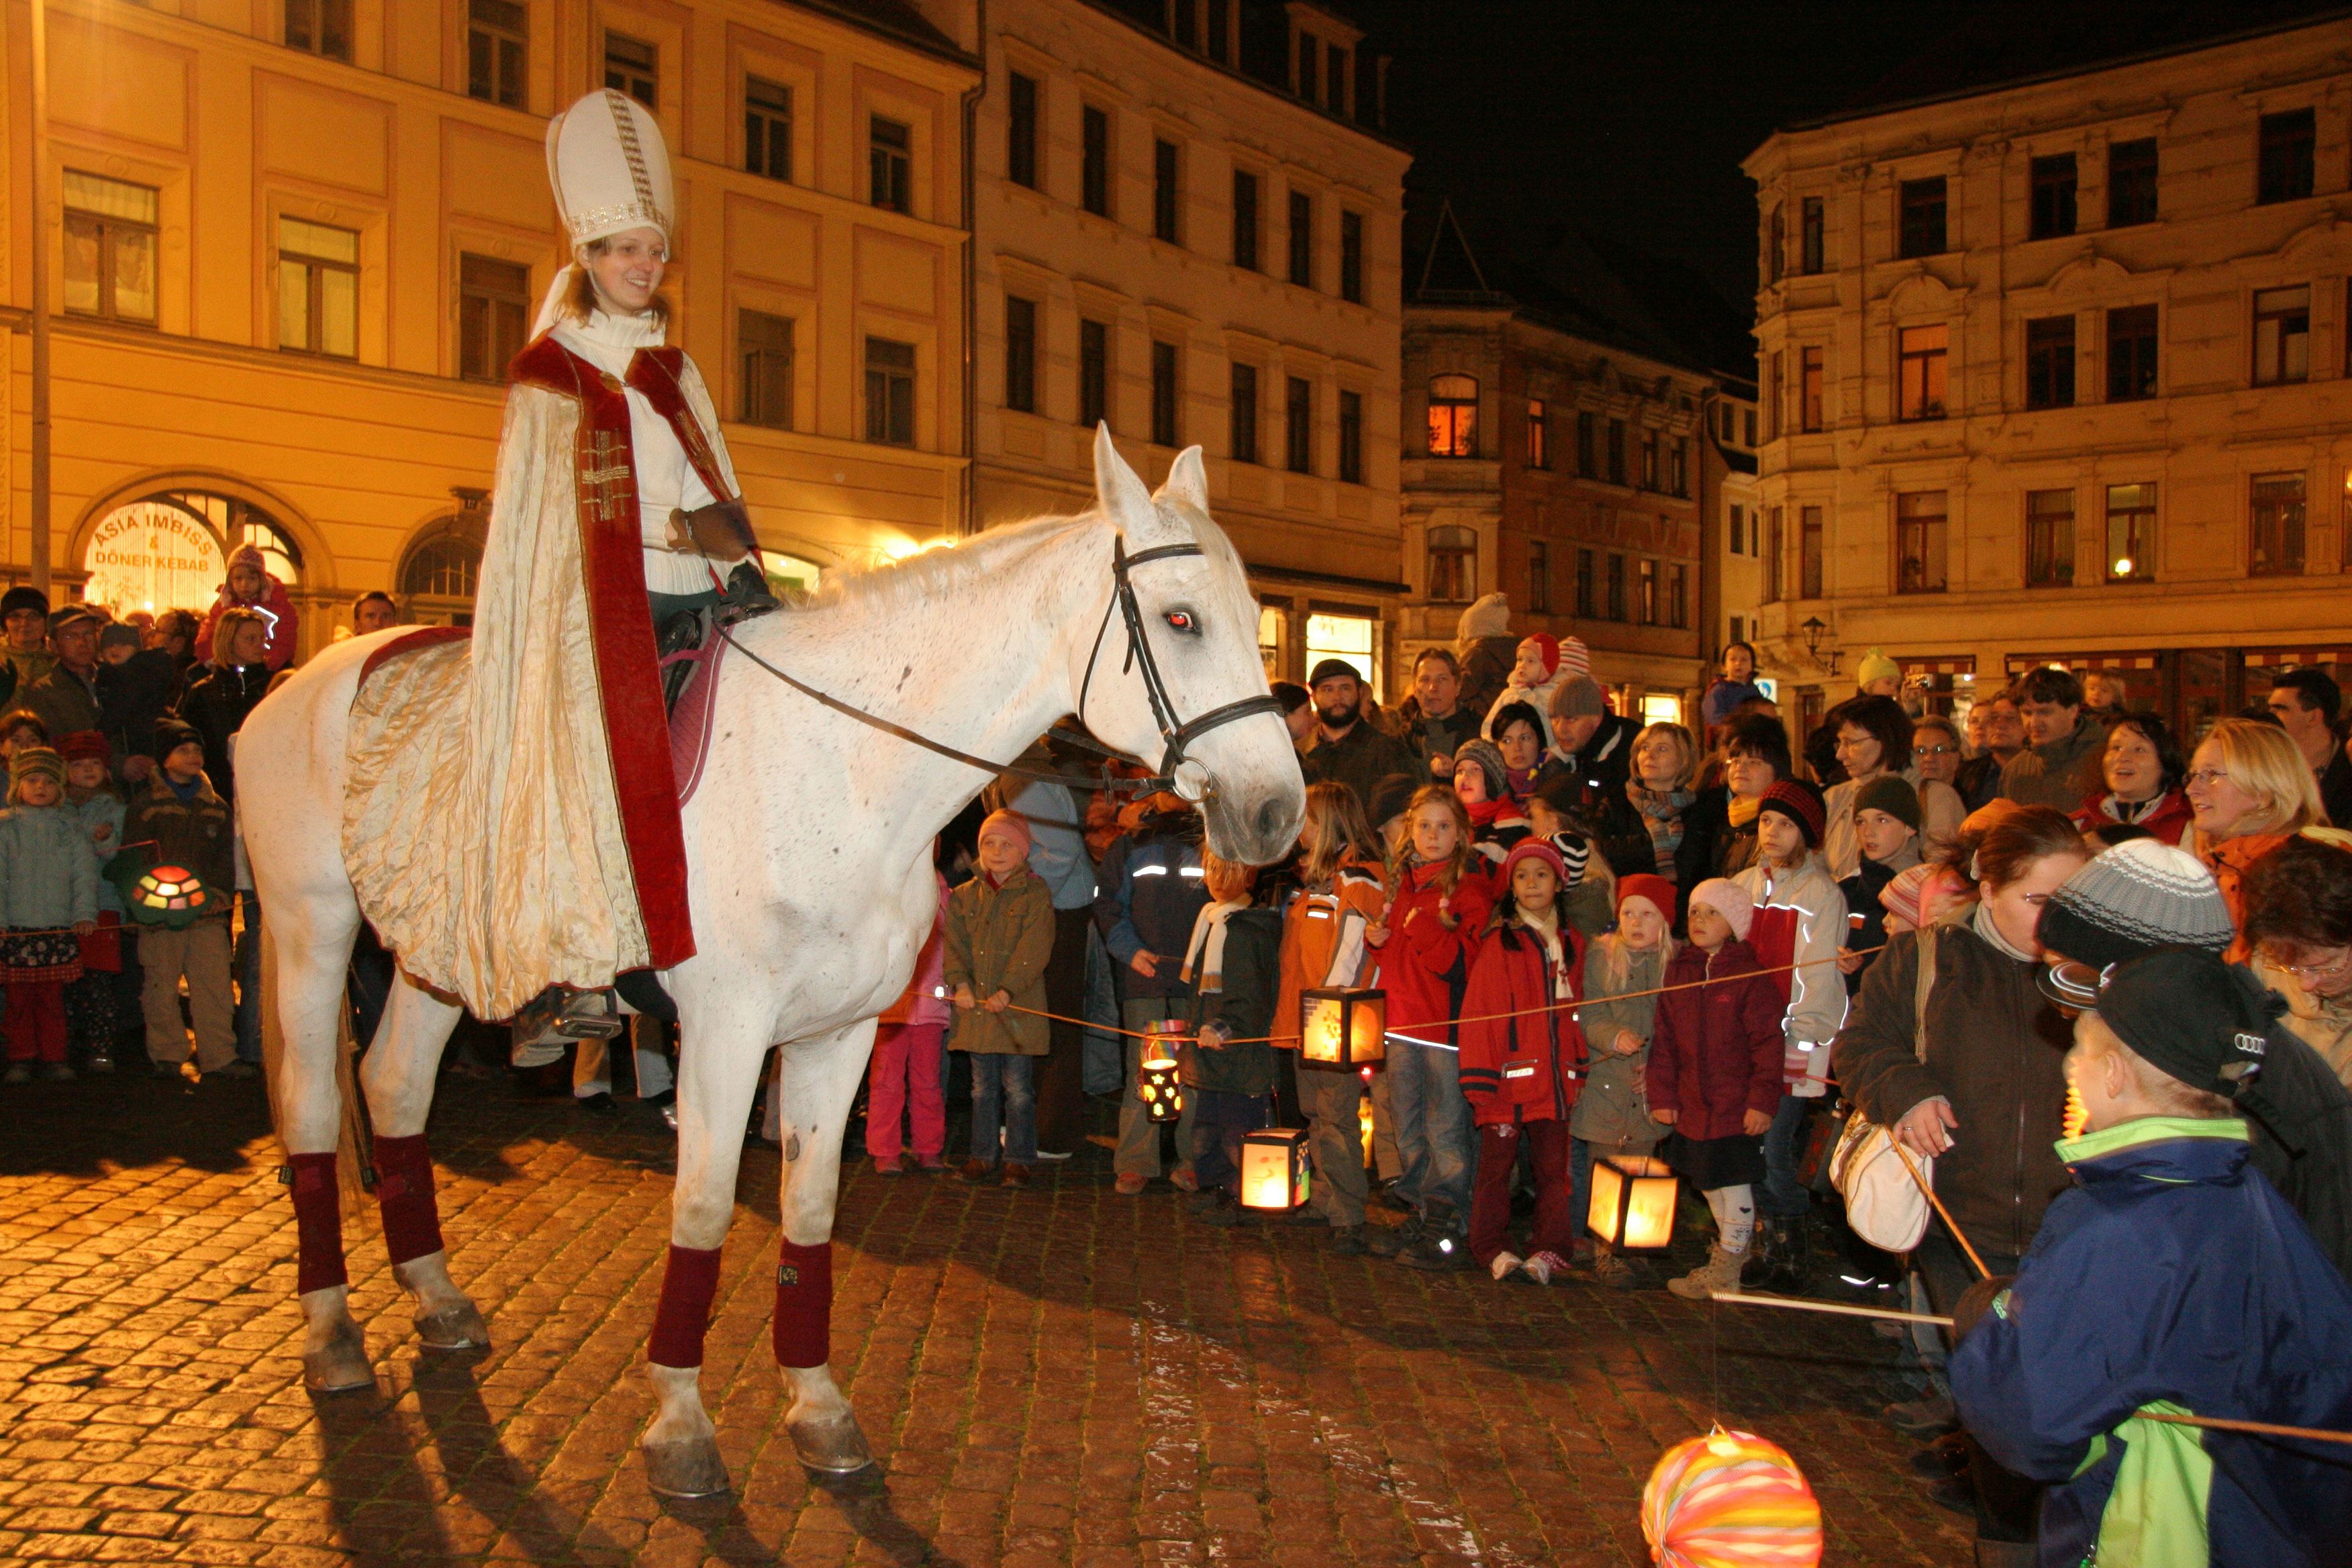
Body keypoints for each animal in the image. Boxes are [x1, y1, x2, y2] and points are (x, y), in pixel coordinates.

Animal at [248, 430, 1317, 1495]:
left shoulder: (838, 1033)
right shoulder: (726, 1031)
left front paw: (818, 1405)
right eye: (1180, 619)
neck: (841, 767)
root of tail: (309, 679)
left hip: (440, 946)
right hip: (312, 928)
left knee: (392, 1084)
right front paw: (681, 1420)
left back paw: (435, 1296)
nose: (1275, 813)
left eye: (1249, 616)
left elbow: (811, 1201)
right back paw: (332, 1332)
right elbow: (705, 1204)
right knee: (311, 1104)